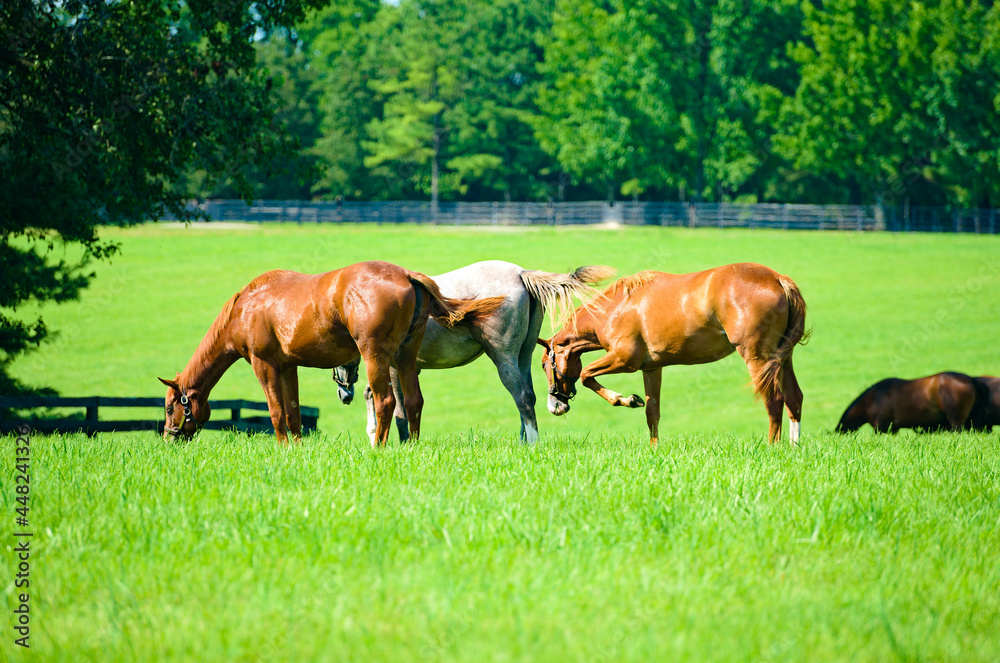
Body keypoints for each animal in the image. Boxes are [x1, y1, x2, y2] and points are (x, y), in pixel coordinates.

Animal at [161, 260, 504, 446]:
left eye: (169, 407)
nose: (168, 437)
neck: (247, 307)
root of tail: (406, 274)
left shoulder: (264, 365)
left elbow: (275, 411)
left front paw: (283, 447)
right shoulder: (288, 367)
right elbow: (293, 413)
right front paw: (296, 449)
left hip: (376, 356)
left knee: (385, 402)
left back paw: (378, 448)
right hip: (405, 357)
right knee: (413, 401)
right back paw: (412, 447)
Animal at [332, 262, 612, 444]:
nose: (344, 394)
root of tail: (521, 274)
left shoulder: (393, 367)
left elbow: (396, 408)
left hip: (503, 358)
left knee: (521, 396)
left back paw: (532, 444)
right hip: (523, 356)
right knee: (528, 396)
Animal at [540, 264, 804, 446]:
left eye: (544, 365)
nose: (554, 406)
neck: (614, 308)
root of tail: (778, 279)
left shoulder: (624, 360)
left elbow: (586, 375)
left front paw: (623, 399)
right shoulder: (651, 369)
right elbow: (652, 412)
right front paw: (653, 447)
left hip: (758, 359)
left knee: (774, 400)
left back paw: (772, 447)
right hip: (783, 359)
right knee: (794, 399)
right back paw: (793, 447)